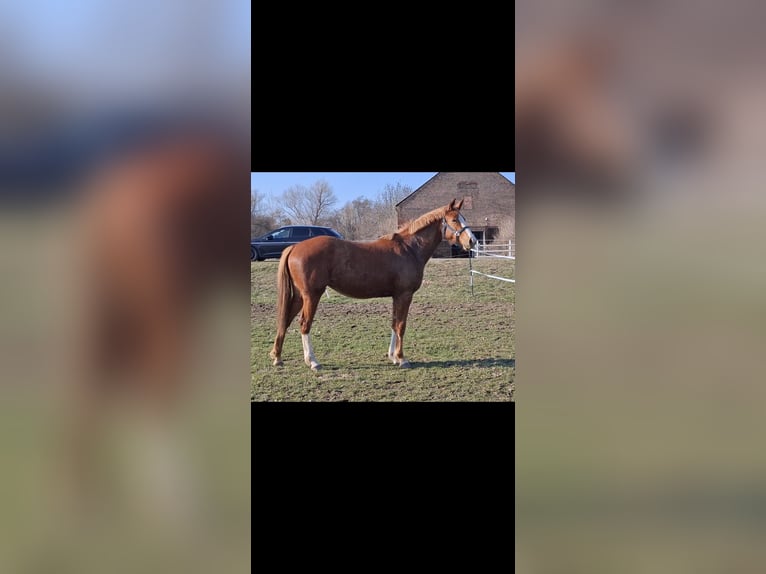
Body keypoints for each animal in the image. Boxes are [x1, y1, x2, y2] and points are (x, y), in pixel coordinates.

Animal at [269, 198, 477, 370]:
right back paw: (312, 361)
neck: (409, 249)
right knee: (304, 324)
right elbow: (401, 325)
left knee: (285, 320)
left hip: (299, 296)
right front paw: (402, 359)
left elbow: (394, 324)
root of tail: (295, 246)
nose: (472, 241)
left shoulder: (396, 296)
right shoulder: (405, 295)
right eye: (454, 220)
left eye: (464, 218)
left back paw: (277, 357)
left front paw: (393, 357)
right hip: (311, 296)